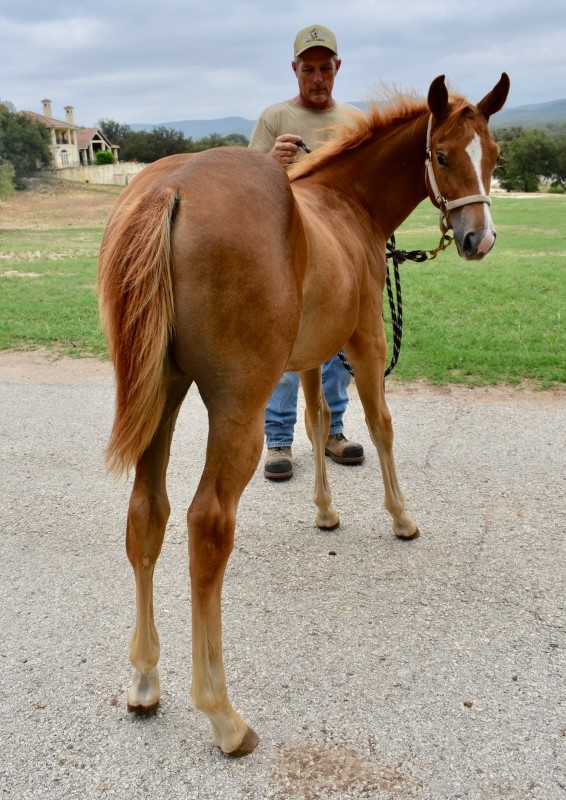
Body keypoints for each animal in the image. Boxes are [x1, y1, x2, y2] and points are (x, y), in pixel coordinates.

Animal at [97, 73, 510, 756]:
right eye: (444, 155)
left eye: (495, 156)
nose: (480, 240)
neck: (346, 204)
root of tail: (169, 188)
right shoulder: (366, 339)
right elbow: (381, 424)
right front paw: (401, 517)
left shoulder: (313, 354)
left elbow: (319, 423)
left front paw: (325, 511)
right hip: (235, 403)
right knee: (207, 523)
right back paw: (222, 714)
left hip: (164, 391)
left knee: (146, 514)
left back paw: (145, 680)